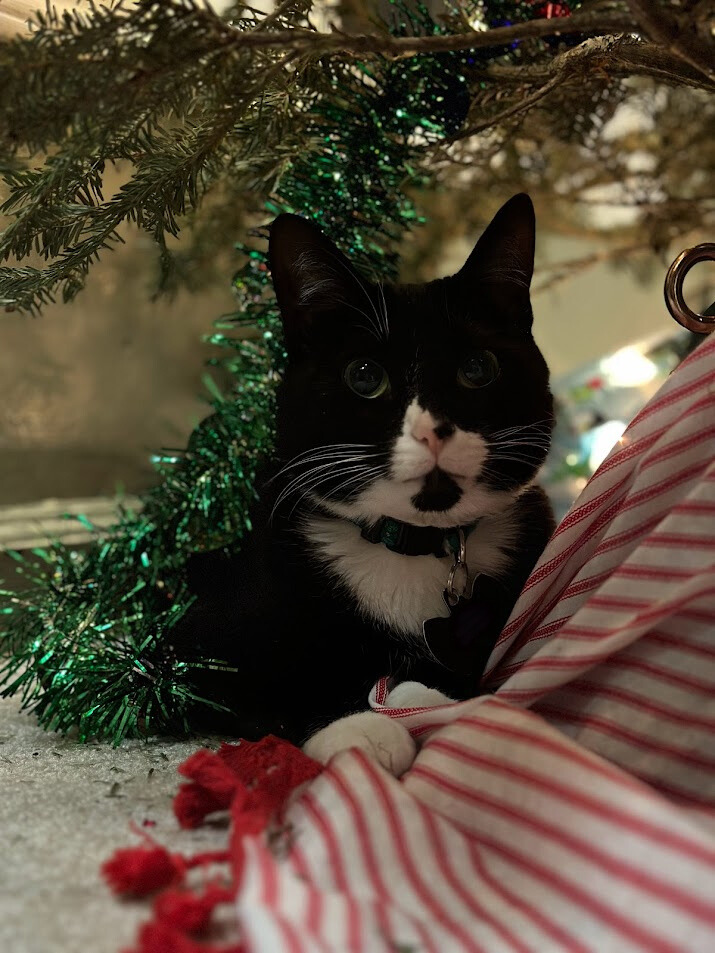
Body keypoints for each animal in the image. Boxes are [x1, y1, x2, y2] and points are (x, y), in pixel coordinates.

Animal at [172, 192, 552, 772]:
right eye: (365, 376)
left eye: (478, 368)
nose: (433, 429)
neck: (411, 546)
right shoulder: (191, 645)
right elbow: (267, 685)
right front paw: (358, 727)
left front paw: (417, 694)